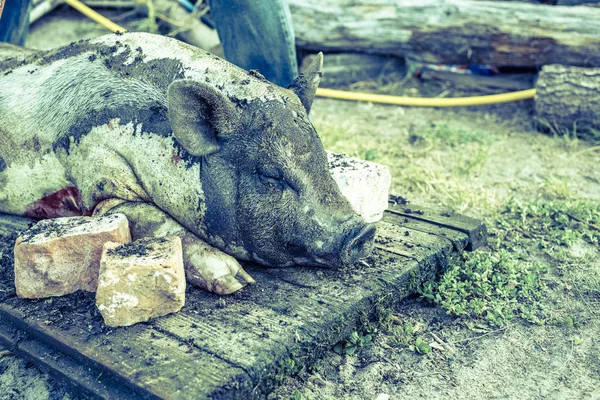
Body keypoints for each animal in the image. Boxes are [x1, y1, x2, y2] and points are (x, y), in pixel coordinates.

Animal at [0, 33, 376, 294]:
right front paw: (238, 280)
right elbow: (160, 224)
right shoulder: (99, 175)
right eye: (270, 174)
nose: (362, 231)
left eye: (322, 157)